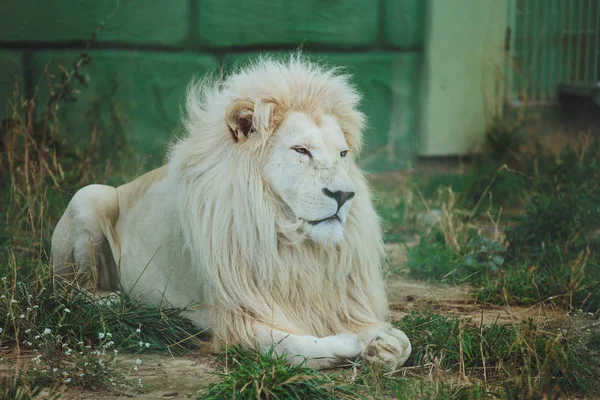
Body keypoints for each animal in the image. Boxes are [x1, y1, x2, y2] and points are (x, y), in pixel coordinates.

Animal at [50, 53, 412, 368]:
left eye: (343, 154)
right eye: (301, 150)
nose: (344, 195)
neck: (292, 240)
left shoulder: (339, 303)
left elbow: (405, 342)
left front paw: (382, 345)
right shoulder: (233, 316)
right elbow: (293, 346)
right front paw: (353, 344)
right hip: (88, 196)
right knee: (69, 290)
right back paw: (114, 300)